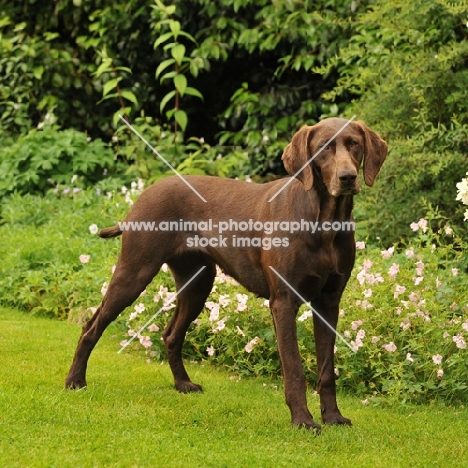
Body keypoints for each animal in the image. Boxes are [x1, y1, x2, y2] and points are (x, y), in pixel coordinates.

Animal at [66, 117, 388, 432]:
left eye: (354, 144)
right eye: (323, 148)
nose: (347, 177)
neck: (324, 222)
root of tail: (143, 194)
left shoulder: (328, 302)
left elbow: (326, 369)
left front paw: (333, 417)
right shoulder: (284, 301)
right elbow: (294, 369)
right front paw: (303, 420)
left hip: (197, 283)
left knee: (171, 334)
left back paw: (183, 384)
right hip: (134, 272)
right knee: (92, 326)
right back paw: (75, 381)